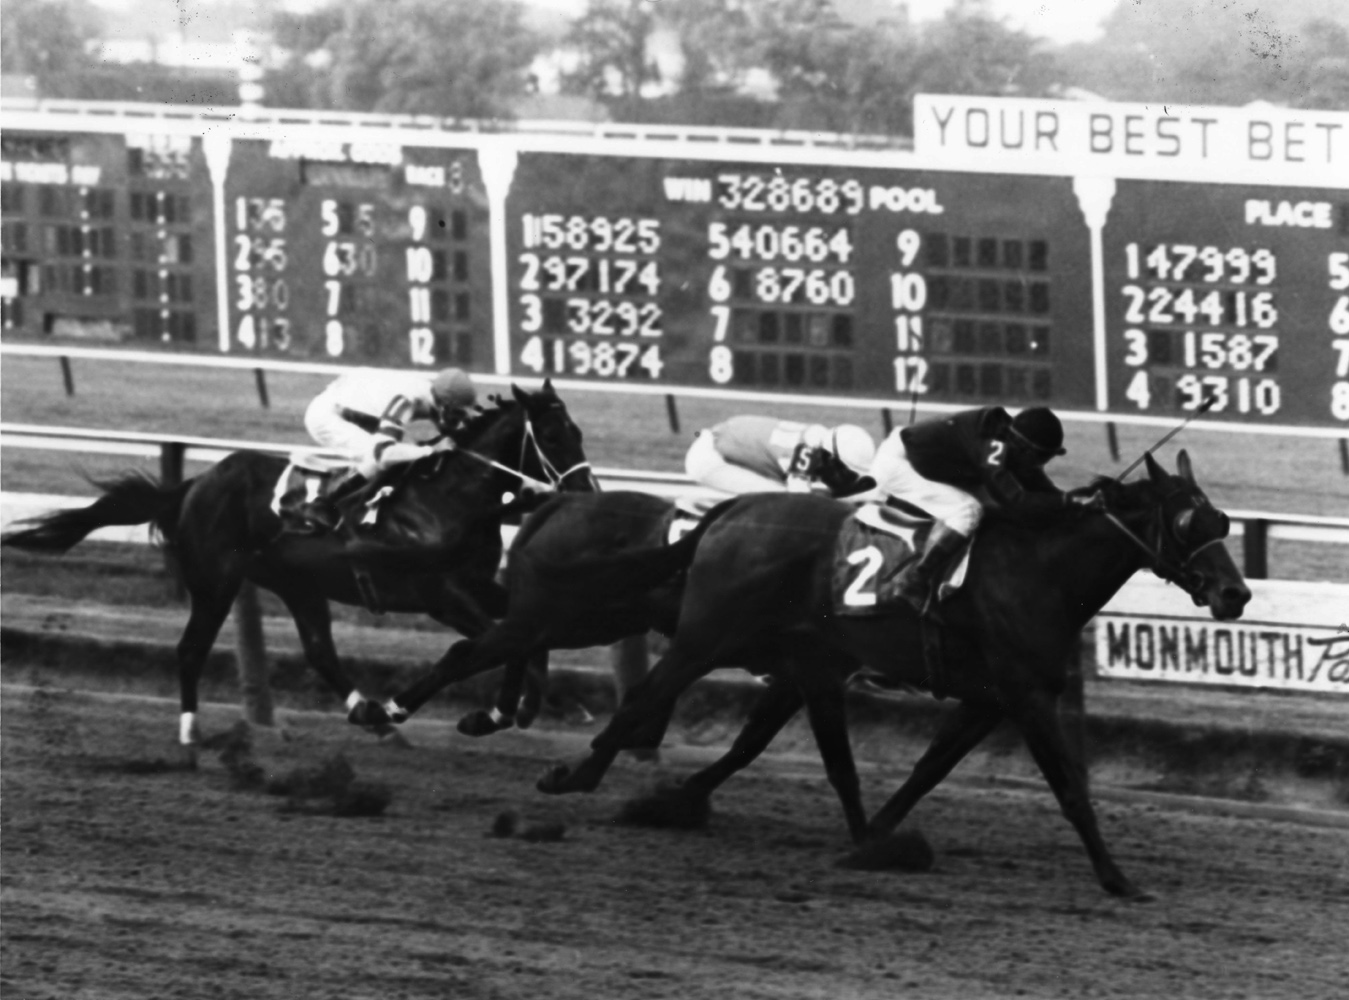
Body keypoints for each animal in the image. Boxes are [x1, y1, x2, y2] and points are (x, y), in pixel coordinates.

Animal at [3, 383, 596, 755]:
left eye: (579, 432)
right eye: (554, 435)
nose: (589, 493)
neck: (451, 498)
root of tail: (194, 484)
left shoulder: (474, 586)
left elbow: (524, 635)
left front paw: (526, 706)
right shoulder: (441, 594)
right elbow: (490, 646)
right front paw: (490, 711)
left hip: (297, 584)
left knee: (318, 652)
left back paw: (368, 714)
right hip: (215, 582)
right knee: (191, 649)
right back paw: (191, 732)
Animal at [536, 453, 1251, 896]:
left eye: (1221, 519)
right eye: (1188, 521)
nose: (1235, 593)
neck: (1040, 572)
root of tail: (729, 512)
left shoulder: (987, 700)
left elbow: (926, 769)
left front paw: (878, 836)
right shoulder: (1025, 696)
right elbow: (1071, 789)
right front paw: (1118, 879)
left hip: (794, 659)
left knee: (747, 737)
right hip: (708, 637)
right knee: (645, 698)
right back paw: (573, 777)